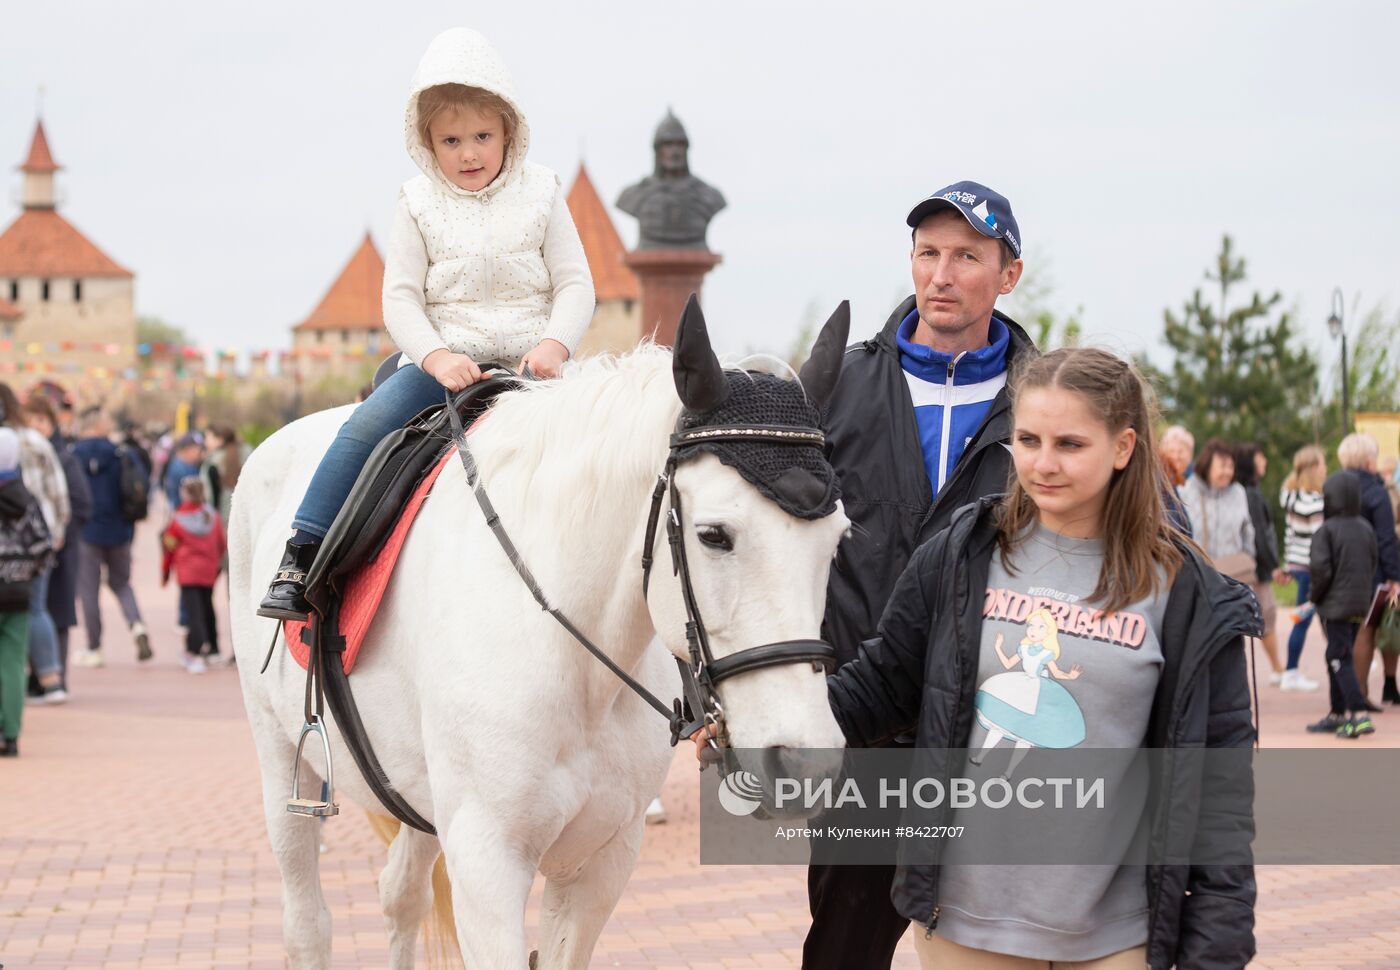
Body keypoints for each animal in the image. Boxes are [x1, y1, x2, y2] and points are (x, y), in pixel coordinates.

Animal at [229, 302, 851, 968]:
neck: (576, 664)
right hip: (280, 760)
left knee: (401, 896)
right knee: (306, 919)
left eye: (837, 538)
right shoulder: (486, 861)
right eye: (714, 535)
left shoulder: (603, 858)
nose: (804, 762)